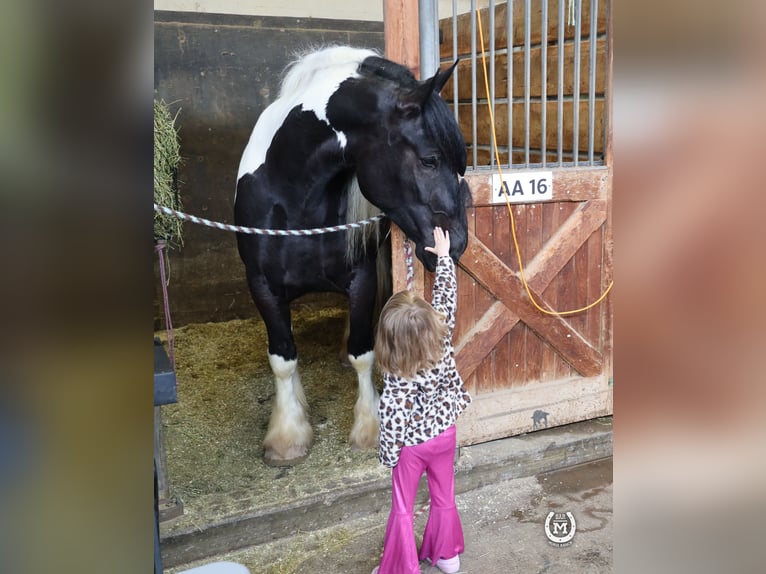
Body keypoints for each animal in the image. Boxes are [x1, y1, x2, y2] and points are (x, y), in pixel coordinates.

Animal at [237, 46, 472, 468]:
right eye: (429, 160)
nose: (458, 244)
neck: (295, 196)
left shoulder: (361, 278)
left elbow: (363, 352)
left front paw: (369, 427)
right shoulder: (261, 285)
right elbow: (283, 358)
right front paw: (287, 437)